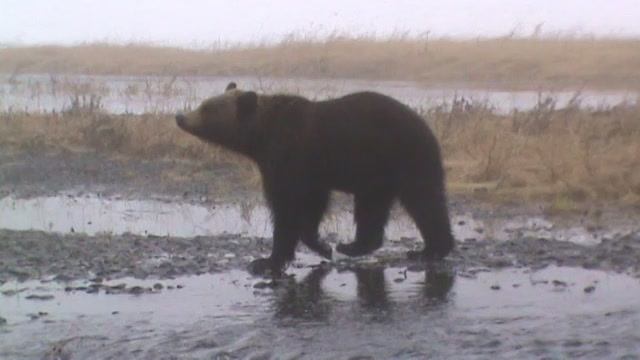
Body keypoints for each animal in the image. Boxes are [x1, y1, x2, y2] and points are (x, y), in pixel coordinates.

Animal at [175, 83, 456, 276]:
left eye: (206, 108)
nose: (180, 116)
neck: (262, 137)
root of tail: (427, 128)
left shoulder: (291, 156)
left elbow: (287, 207)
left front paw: (267, 260)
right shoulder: (310, 172)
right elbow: (311, 206)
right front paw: (322, 245)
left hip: (402, 158)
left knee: (424, 201)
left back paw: (429, 249)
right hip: (378, 175)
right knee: (374, 208)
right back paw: (356, 246)